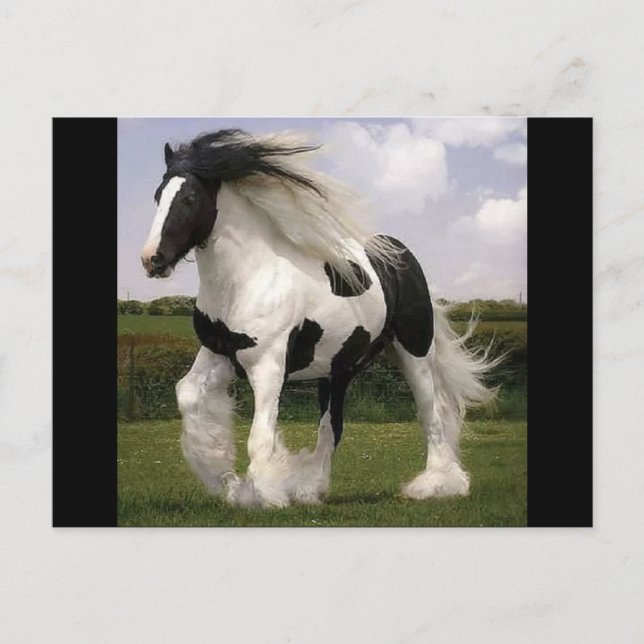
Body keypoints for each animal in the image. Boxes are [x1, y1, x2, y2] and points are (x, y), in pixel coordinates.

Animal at [140, 129, 496, 508]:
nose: (152, 260)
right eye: (158, 195)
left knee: (432, 416)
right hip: (337, 369)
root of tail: (401, 257)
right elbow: (189, 397)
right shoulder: (219, 353)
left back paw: (436, 485)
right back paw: (310, 488)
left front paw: (264, 493)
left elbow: (260, 436)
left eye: (189, 198)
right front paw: (226, 477)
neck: (249, 277)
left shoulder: (268, 365)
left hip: (414, 352)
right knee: (332, 426)